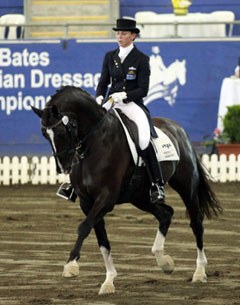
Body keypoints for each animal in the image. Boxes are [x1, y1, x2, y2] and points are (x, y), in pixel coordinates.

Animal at [31, 86, 221, 294]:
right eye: (44, 133)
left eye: (62, 131)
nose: (62, 168)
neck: (95, 142)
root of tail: (178, 129)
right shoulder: (87, 202)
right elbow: (102, 239)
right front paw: (108, 281)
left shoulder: (106, 198)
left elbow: (84, 227)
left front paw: (71, 266)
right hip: (140, 197)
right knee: (166, 213)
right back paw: (163, 260)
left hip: (186, 187)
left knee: (196, 223)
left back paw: (199, 272)